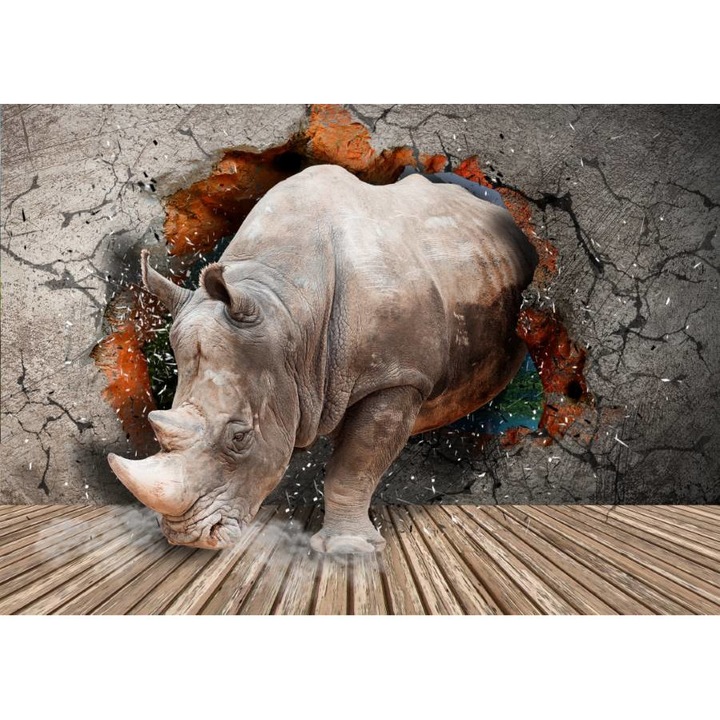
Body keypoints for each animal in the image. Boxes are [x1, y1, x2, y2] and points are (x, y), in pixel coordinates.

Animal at [108, 164, 538, 553]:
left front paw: (348, 549)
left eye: (240, 437)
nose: (188, 539)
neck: (287, 311)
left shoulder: (396, 377)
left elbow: (354, 467)